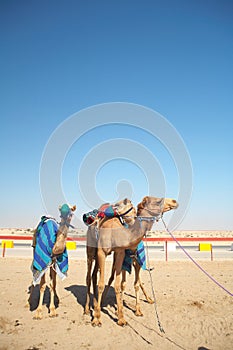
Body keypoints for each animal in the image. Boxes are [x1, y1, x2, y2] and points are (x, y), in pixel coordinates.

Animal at [91, 196, 178, 326]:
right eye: (157, 201)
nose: (174, 201)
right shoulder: (102, 252)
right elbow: (102, 284)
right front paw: (97, 318)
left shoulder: (124, 255)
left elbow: (128, 284)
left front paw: (126, 315)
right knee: (99, 276)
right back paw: (95, 306)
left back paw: (148, 300)